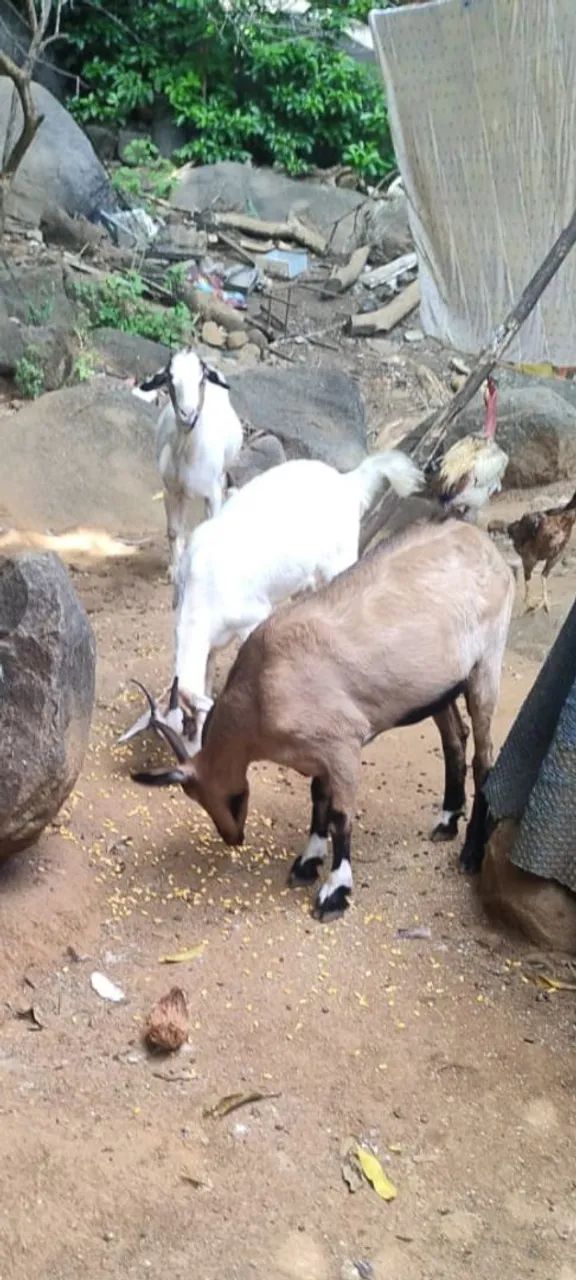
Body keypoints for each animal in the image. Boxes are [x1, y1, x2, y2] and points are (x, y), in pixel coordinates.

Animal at [120, 448, 423, 751]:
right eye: (167, 735)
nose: (191, 759)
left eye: (190, 725)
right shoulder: (211, 639)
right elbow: (207, 673)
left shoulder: (252, 619)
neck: (203, 585)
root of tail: (347, 482)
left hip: (340, 561)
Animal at [131, 519, 514, 920]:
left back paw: (471, 851)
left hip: (486, 663)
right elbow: (318, 799)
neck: (261, 687)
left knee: (484, 756)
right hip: (437, 687)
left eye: (229, 796)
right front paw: (308, 862)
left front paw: (335, 891)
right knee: (455, 737)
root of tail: (481, 542)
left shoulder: (343, 745)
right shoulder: (318, 752)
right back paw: (447, 819)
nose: (233, 837)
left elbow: (341, 816)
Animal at [138, 348, 243, 586]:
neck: (188, 451)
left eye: (201, 379)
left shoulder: (212, 493)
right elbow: (173, 530)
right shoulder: (170, 489)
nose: (188, 414)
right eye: (170, 379)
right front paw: (174, 569)